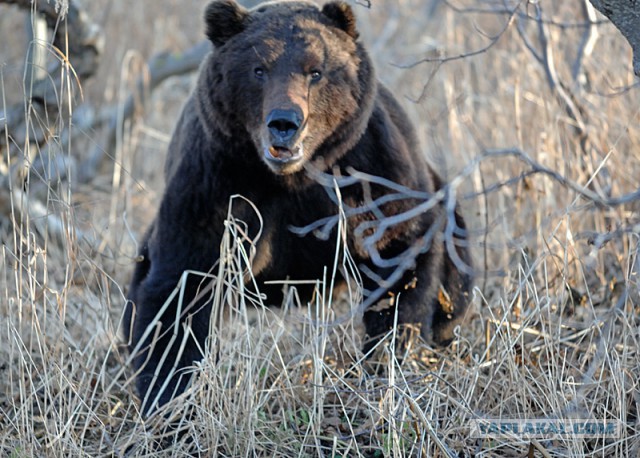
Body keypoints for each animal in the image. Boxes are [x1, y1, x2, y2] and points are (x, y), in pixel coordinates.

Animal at [125, 0, 472, 416]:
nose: (284, 122)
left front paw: (384, 363)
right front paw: (170, 397)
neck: (292, 179)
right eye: (258, 69)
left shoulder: (371, 173)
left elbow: (401, 257)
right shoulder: (216, 184)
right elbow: (181, 285)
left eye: (316, 71)